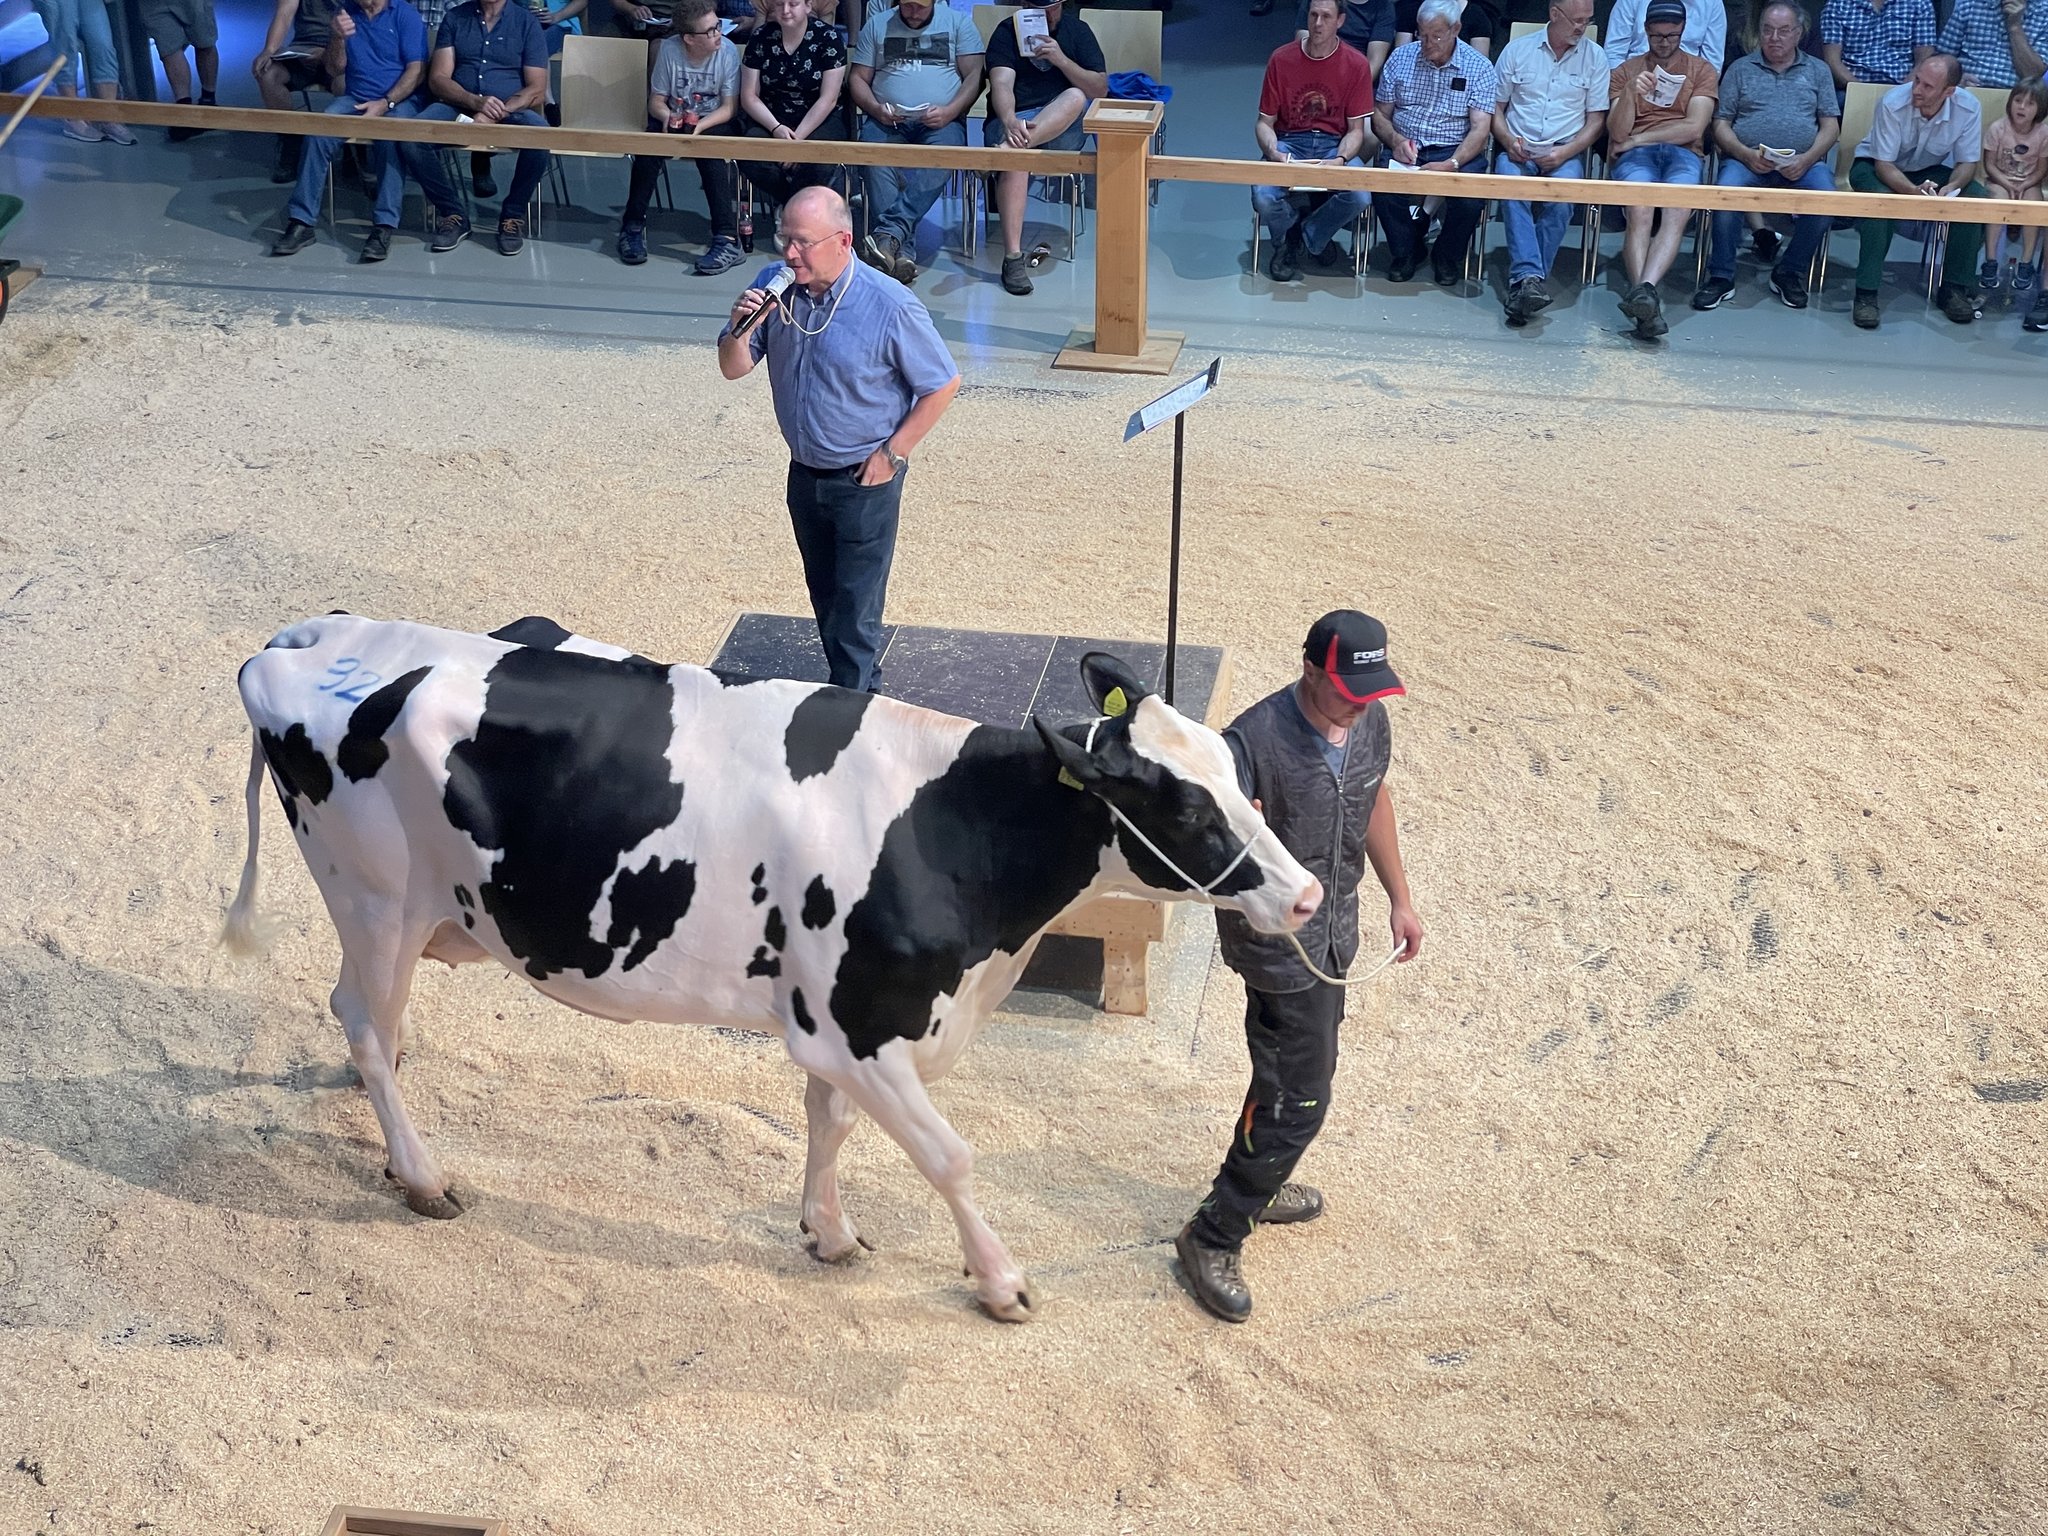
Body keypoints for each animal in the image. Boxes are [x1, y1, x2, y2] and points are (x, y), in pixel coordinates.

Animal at [223, 612, 1322, 1321]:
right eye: (1186, 809)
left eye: (1237, 775)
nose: (1308, 894)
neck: (947, 826)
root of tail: (307, 637)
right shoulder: (868, 1025)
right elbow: (948, 1155)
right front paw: (999, 1281)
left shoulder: (831, 1022)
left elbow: (828, 1124)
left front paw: (827, 1233)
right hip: (373, 896)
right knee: (362, 1021)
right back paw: (421, 1174)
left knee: (371, 1024)